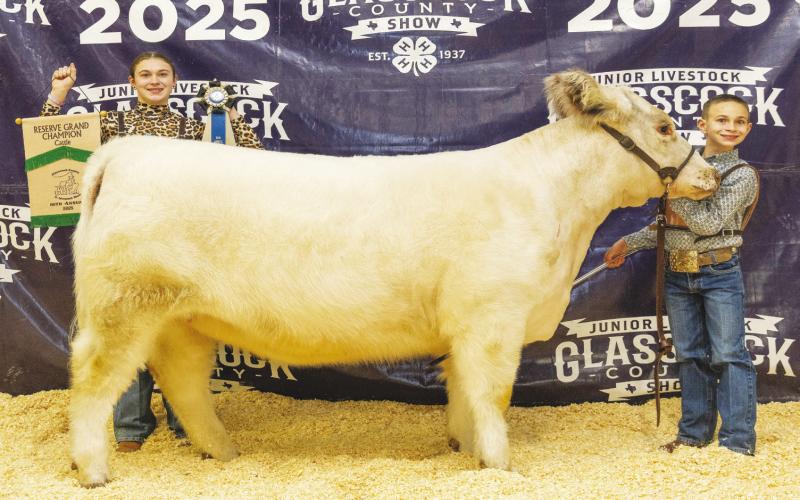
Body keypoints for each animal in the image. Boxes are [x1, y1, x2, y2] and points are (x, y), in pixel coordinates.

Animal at [68, 69, 719, 487]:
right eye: (665, 126)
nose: (710, 176)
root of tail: (124, 153)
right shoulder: (492, 318)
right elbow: (493, 393)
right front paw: (501, 465)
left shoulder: (465, 328)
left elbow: (462, 392)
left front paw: (465, 449)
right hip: (123, 307)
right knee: (94, 383)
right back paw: (94, 470)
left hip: (180, 319)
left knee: (182, 382)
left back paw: (226, 453)